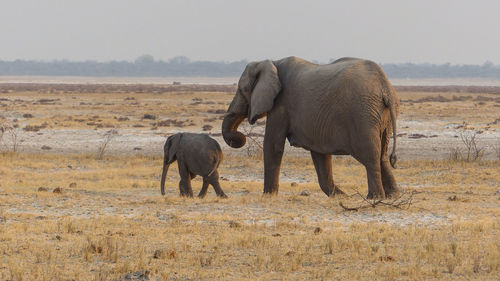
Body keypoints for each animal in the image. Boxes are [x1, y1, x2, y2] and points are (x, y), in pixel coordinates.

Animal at [221, 56, 400, 197]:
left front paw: (268, 196)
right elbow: (320, 155)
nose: (239, 137)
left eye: (242, 90)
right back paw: (393, 195)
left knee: (370, 155)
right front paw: (341, 196)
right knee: (382, 155)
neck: (271, 62)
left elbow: (273, 145)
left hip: (363, 114)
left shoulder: (281, 104)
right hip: (381, 116)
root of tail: (384, 85)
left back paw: (375, 197)